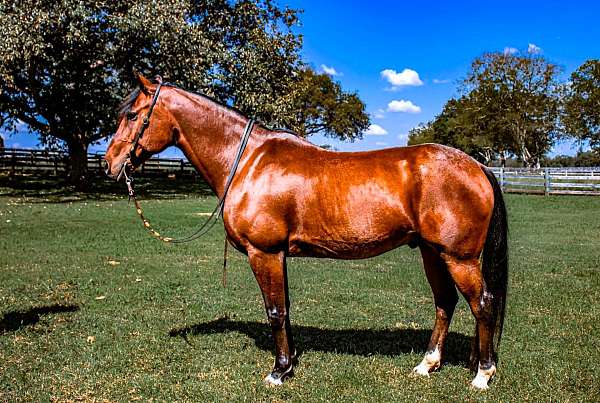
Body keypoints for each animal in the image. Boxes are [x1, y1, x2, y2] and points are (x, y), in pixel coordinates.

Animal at [105, 74, 508, 390]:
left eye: (132, 115)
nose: (110, 163)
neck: (247, 160)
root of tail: (477, 166)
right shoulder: (278, 255)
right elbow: (285, 308)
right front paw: (291, 361)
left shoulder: (264, 252)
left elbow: (275, 311)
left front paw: (278, 372)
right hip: (431, 252)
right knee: (446, 302)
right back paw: (427, 364)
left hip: (459, 258)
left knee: (482, 304)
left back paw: (482, 374)